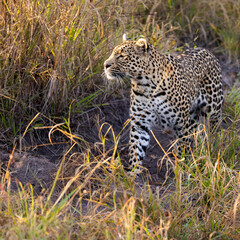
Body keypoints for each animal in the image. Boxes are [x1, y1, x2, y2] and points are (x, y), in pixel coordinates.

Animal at [104, 36, 224, 174]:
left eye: (122, 56)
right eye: (112, 53)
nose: (105, 64)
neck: (145, 85)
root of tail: (206, 50)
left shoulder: (181, 124)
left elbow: (183, 147)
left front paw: (183, 169)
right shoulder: (140, 124)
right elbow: (136, 150)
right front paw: (133, 173)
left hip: (213, 109)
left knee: (214, 130)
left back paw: (213, 149)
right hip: (192, 117)